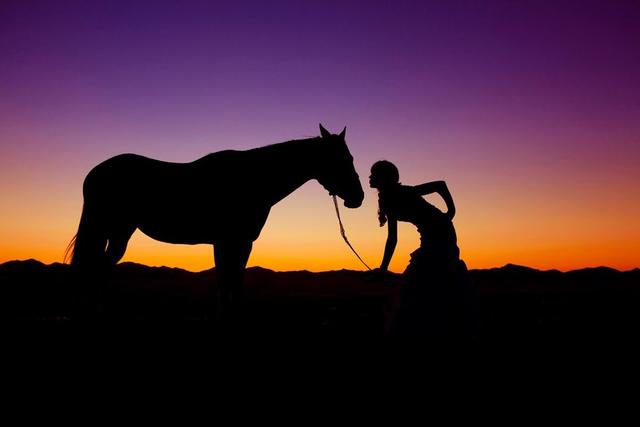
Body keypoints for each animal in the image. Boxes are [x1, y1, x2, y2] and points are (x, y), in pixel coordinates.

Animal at [66, 125, 364, 320]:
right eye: (342, 159)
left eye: (350, 158)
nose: (358, 197)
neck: (252, 180)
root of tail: (95, 172)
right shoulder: (227, 242)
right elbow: (226, 279)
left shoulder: (240, 243)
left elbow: (233, 280)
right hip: (107, 226)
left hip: (119, 231)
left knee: (101, 266)